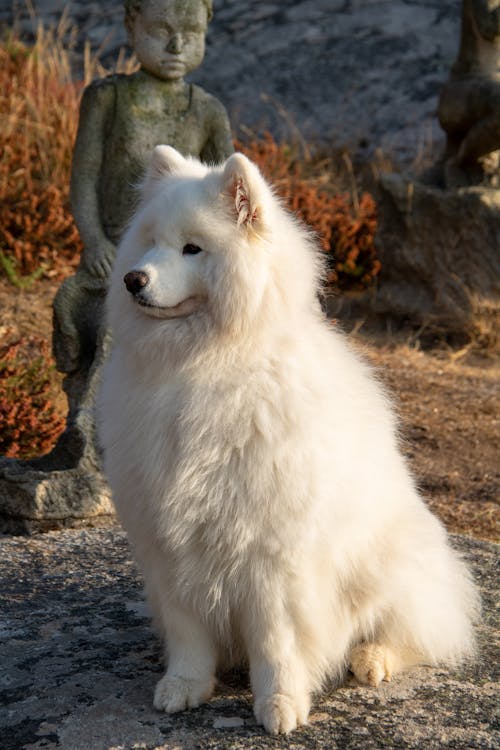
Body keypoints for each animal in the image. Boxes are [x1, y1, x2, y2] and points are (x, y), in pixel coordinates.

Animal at [98, 145, 480, 736]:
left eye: (192, 248)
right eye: (151, 242)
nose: (133, 280)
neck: (201, 368)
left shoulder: (272, 553)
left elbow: (277, 642)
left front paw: (279, 704)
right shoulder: (169, 544)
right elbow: (188, 633)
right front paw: (185, 685)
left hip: (388, 571)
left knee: (417, 633)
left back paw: (373, 658)